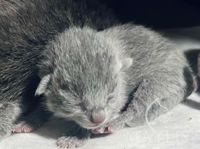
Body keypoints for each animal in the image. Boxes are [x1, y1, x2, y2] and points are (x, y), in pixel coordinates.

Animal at [35, 24, 195, 148]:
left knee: (139, 106)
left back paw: (118, 121)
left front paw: (76, 135)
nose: (99, 118)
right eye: (77, 102)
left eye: (109, 97)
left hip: (160, 79)